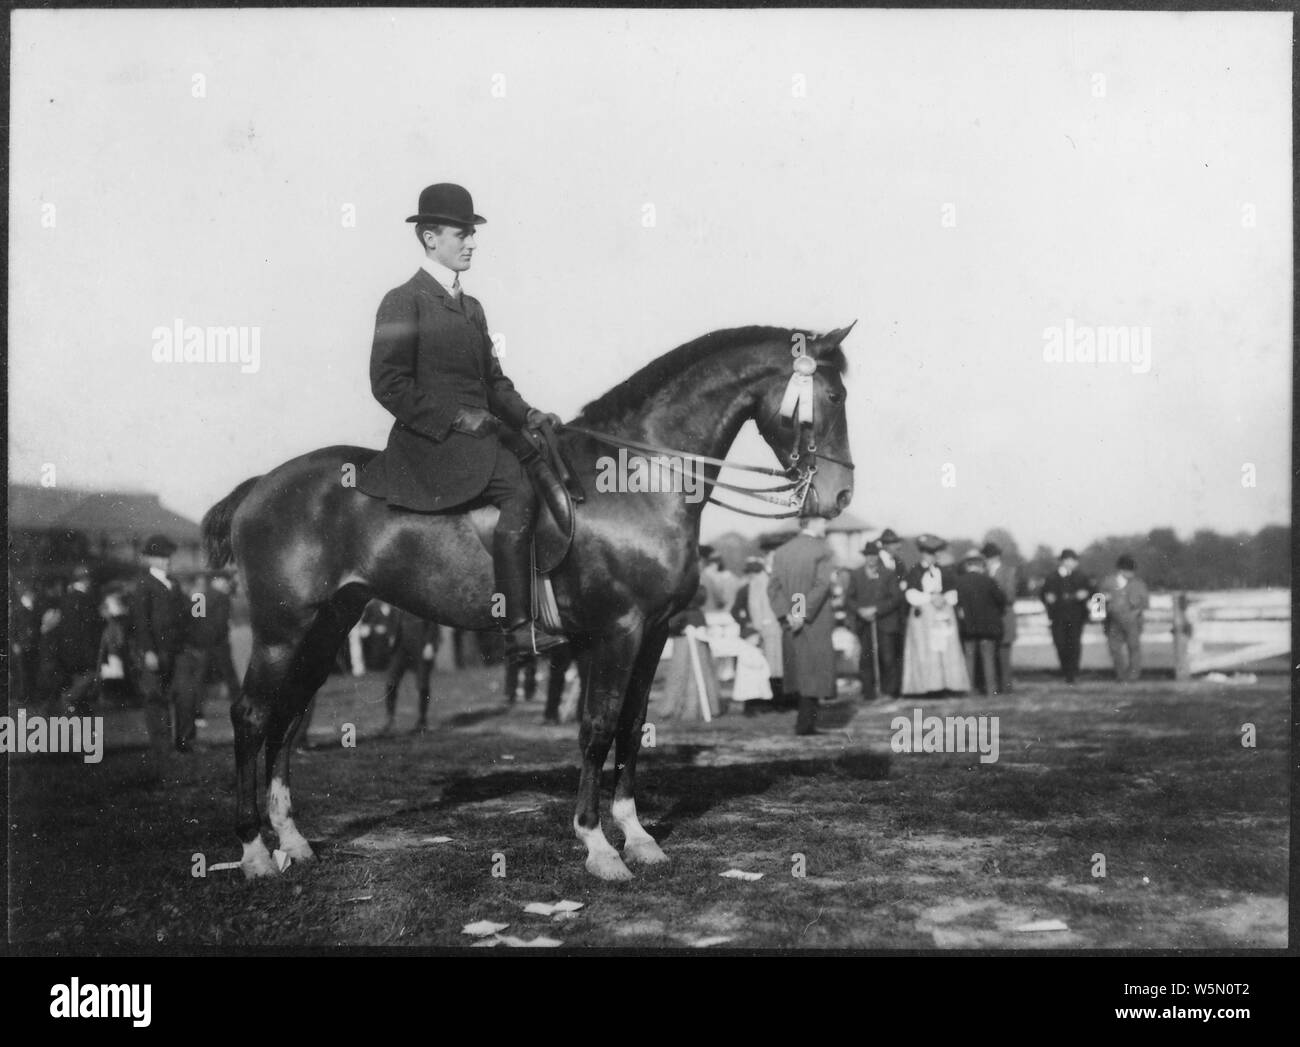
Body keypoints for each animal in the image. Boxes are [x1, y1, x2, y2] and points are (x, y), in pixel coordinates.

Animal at [202, 323, 857, 881]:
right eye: (831, 394)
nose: (840, 495)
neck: (637, 477)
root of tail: (259, 486)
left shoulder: (651, 633)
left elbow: (631, 726)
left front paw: (638, 837)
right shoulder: (618, 631)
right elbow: (597, 727)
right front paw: (598, 845)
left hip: (330, 625)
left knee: (288, 718)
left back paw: (292, 842)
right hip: (282, 631)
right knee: (252, 716)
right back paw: (254, 851)